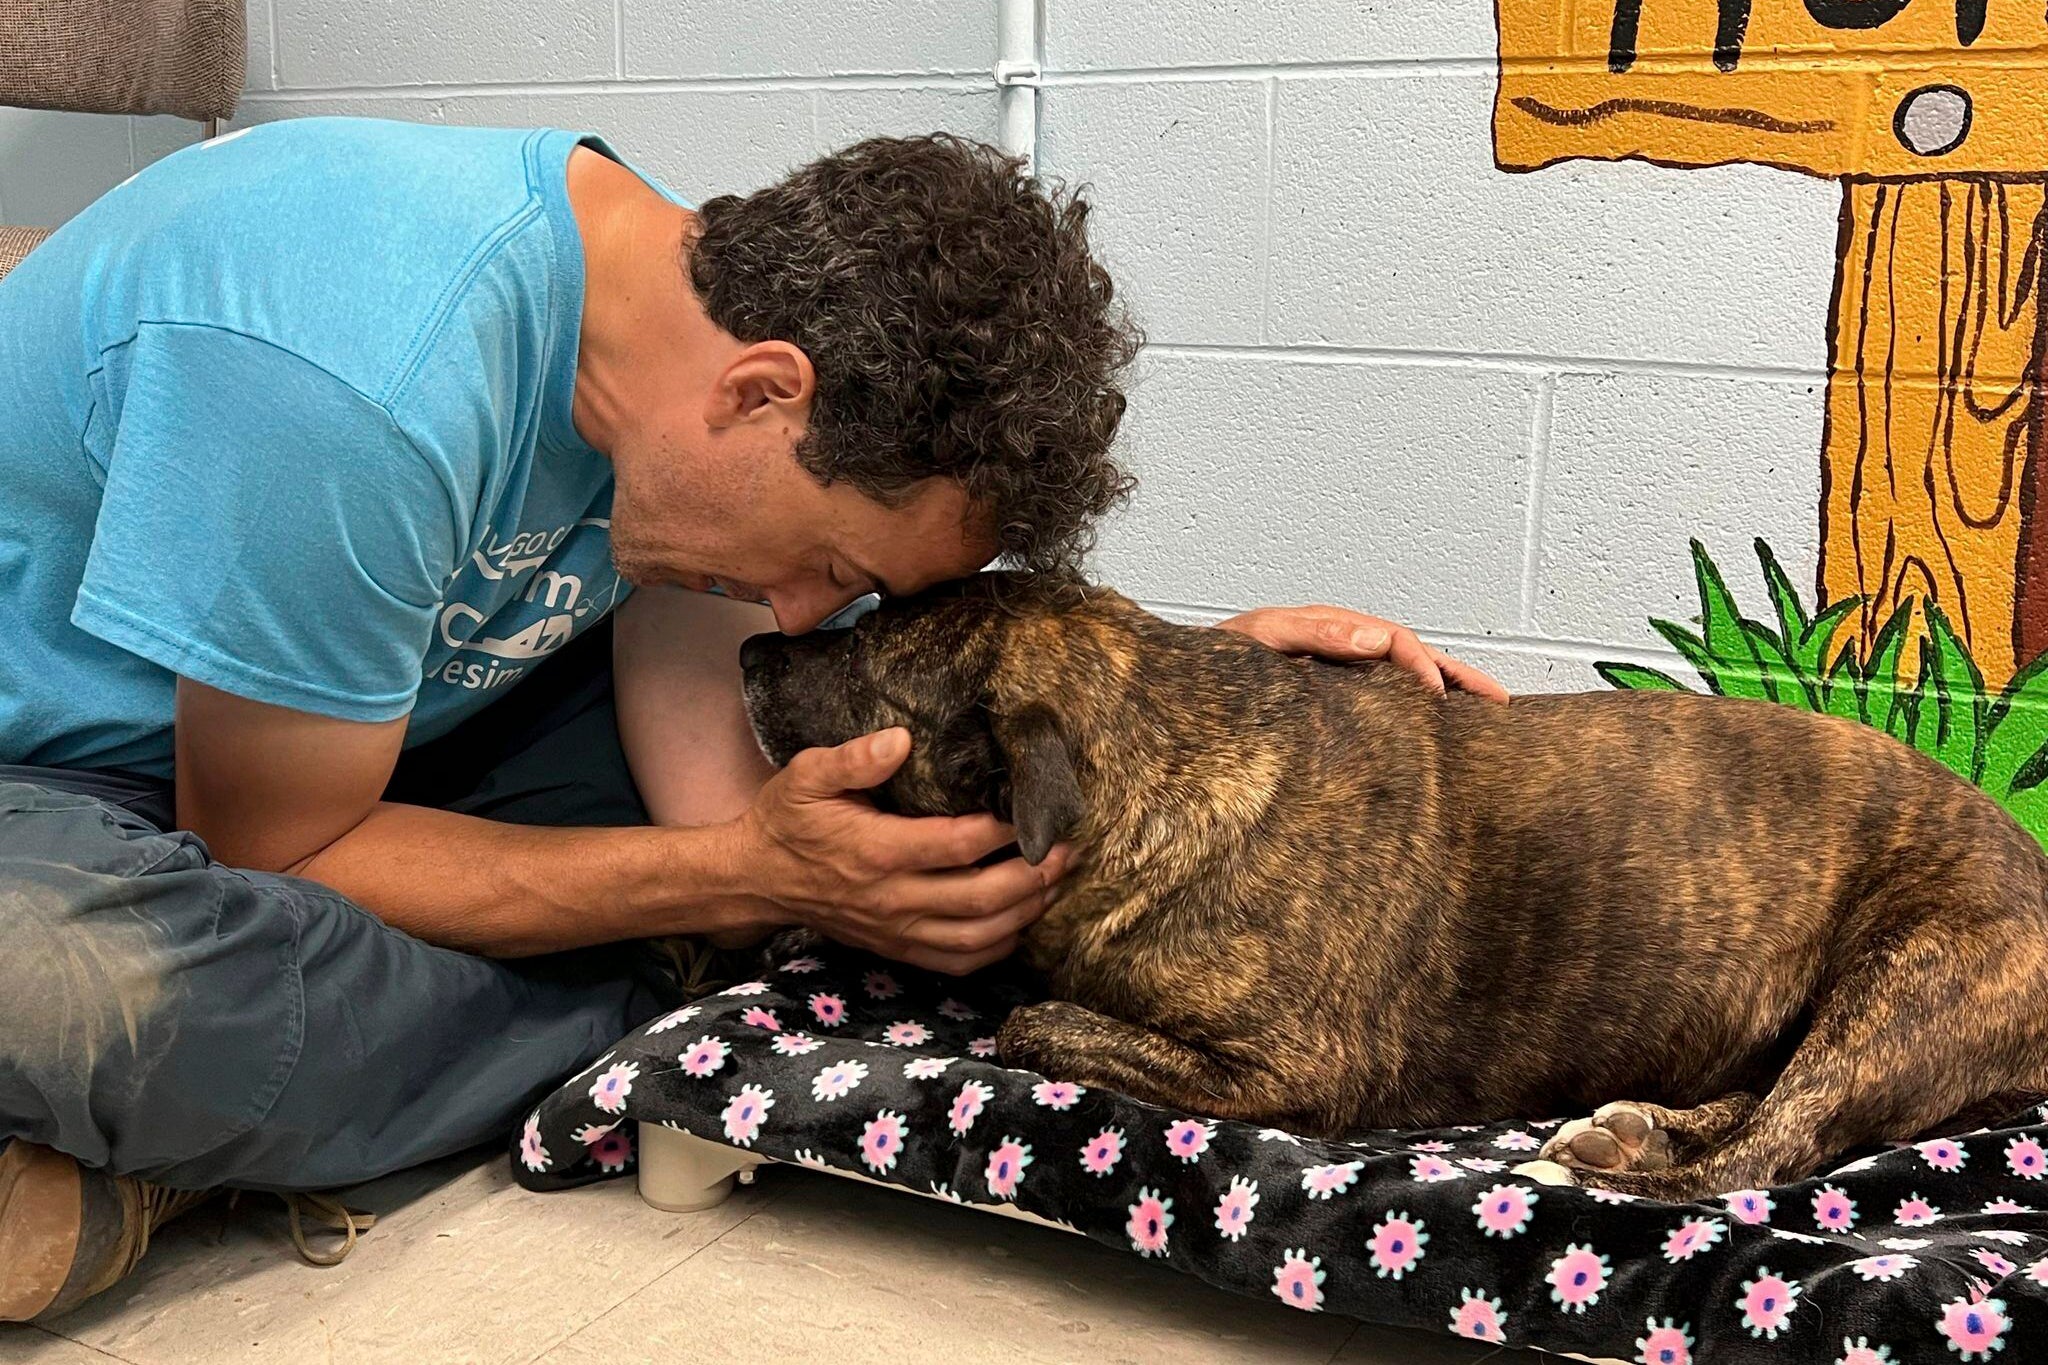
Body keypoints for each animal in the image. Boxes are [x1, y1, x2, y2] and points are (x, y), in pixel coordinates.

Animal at [745, 573, 2048, 1203]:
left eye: (868, 661)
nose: (753, 647)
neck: (1160, 749)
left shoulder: (1290, 1070)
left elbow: (1029, 1022)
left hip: (1902, 979)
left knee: (1773, 1151)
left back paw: (1612, 1167)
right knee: (1770, 1109)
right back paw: (1634, 1124)